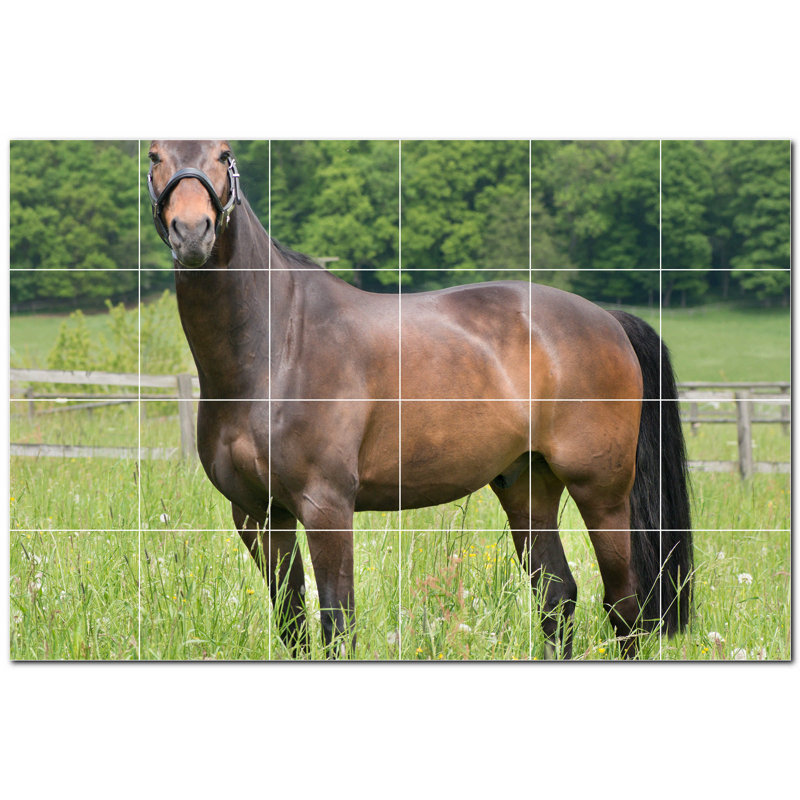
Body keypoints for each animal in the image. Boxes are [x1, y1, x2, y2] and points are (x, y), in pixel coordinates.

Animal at [147, 139, 693, 659]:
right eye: (154, 155)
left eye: (224, 154)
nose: (192, 232)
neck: (278, 345)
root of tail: (608, 319)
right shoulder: (258, 516)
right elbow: (292, 624)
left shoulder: (326, 508)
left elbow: (337, 625)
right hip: (527, 490)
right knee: (557, 596)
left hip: (600, 493)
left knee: (624, 606)